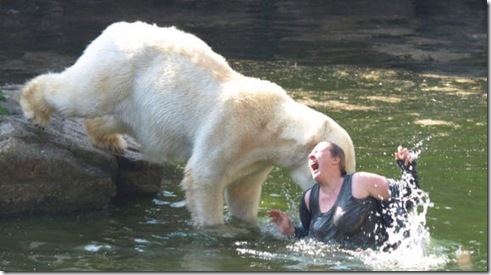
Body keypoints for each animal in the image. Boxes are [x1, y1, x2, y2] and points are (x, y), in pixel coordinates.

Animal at [20, 21, 358, 229]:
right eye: (343, 167)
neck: (272, 125)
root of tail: (113, 28)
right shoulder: (232, 128)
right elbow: (204, 176)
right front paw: (215, 229)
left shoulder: (256, 160)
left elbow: (243, 191)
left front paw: (248, 225)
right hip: (119, 67)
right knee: (82, 93)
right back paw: (34, 109)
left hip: (135, 98)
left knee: (114, 115)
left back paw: (109, 139)